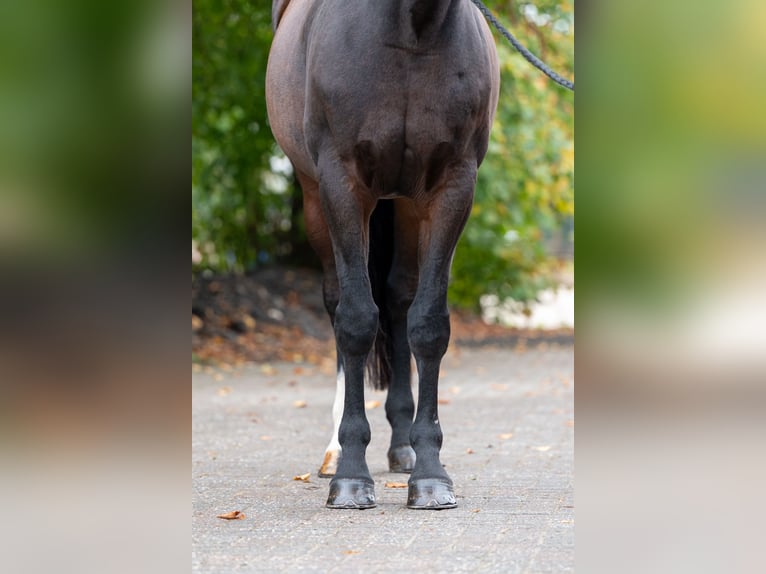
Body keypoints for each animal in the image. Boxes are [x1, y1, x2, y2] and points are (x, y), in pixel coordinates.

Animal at [266, 0, 499, 509]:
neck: (411, 31)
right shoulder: (343, 183)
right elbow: (355, 320)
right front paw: (351, 477)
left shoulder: (451, 187)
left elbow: (428, 325)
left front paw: (431, 475)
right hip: (315, 198)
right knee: (338, 302)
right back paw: (334, 451)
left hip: (406, 205)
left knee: (397, 299)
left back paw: (402, 447)